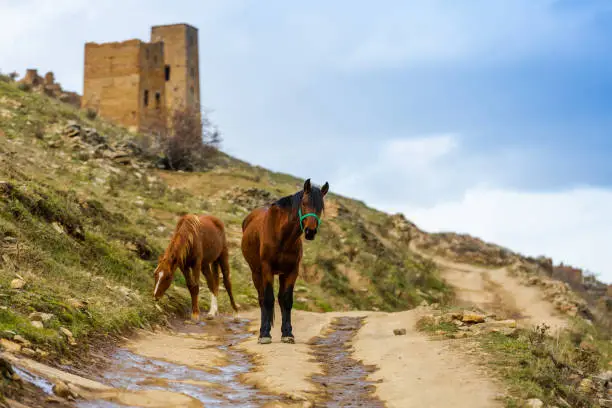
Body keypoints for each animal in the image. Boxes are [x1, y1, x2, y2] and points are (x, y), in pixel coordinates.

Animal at [240, 180, 330, 342]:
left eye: (321, 206)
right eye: (304, 203)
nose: (310, 232)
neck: (282, 235)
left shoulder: (292, 271)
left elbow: (286, 300)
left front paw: (287, 333)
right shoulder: (267, 269)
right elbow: (268, 299)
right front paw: (265, 334)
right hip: (256, 273)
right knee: (262, 299)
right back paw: (262, 330)